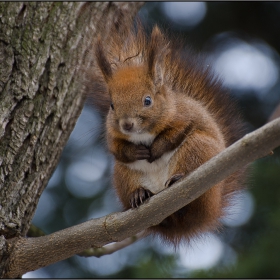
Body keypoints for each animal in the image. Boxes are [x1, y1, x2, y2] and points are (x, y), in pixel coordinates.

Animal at [87, 14, 245, 245]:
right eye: (112, 105)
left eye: (147, 100)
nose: (127, 124)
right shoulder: (112, 136)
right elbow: (117, 149)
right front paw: (137, 151)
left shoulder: (184, 117)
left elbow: (174, 134)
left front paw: (155, 149)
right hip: (124, 174)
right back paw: (139, 194)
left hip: (198, 149)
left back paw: (178, 179)